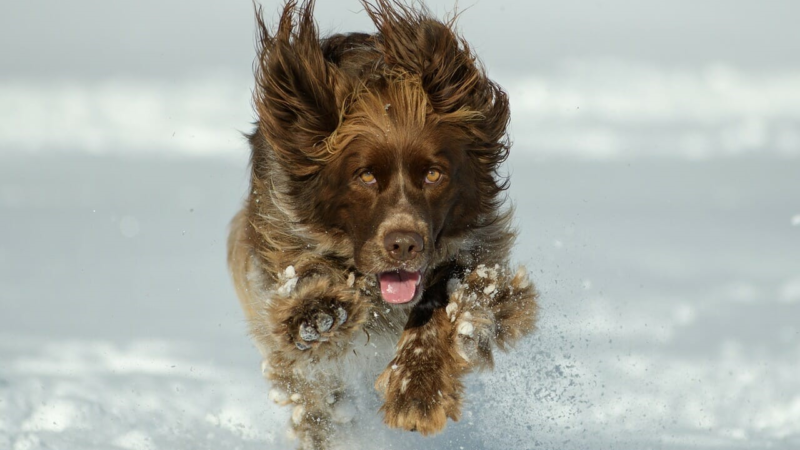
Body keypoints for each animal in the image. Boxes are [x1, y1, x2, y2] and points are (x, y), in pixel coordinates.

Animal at [227, 1, 536, 448]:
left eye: (434, 174)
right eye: (366, 176)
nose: (404, 244)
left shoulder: (481, 252)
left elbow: (450, 300)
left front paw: (418, 391)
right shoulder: (279, 234)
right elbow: (303, 281)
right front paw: (320, 313)